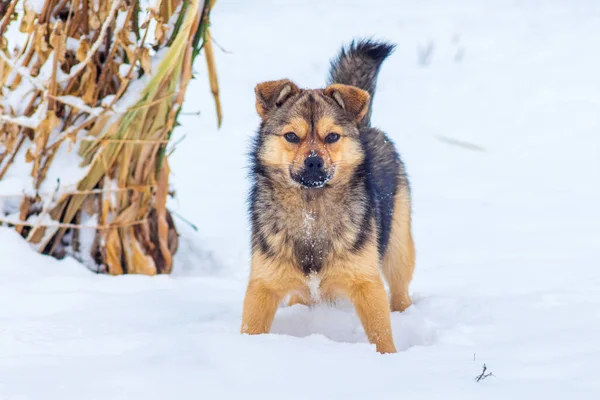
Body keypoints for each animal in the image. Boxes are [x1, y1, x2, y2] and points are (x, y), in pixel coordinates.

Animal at [241, 39, 414, 354]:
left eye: (332, 137)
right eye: (292, 136)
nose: (313, 162)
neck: (311, 211)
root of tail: (365, 125)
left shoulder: (366, 282)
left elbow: (381, 332)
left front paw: (388, 358)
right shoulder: (263, 284)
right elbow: (251, 327)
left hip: (398, 249)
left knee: (400, 289)